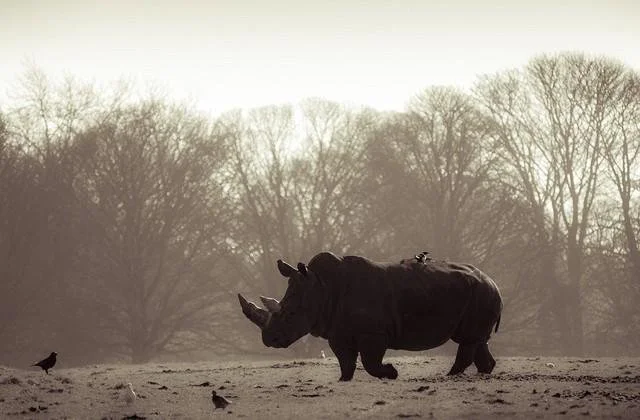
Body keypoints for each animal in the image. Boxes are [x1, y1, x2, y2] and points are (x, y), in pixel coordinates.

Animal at [238, 252, 503, 381]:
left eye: (291, 314)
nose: (268, 340)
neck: (320, 288)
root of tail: (493, 281)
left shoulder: (373, 332)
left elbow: (370, 362)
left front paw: (391, 373)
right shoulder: (337, 331)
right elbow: (346, 361)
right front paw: (343, 381)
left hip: (482, 293)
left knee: (468, 339)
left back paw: (449, 377)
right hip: (478, 294)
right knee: (477, 339)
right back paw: (481, 374)